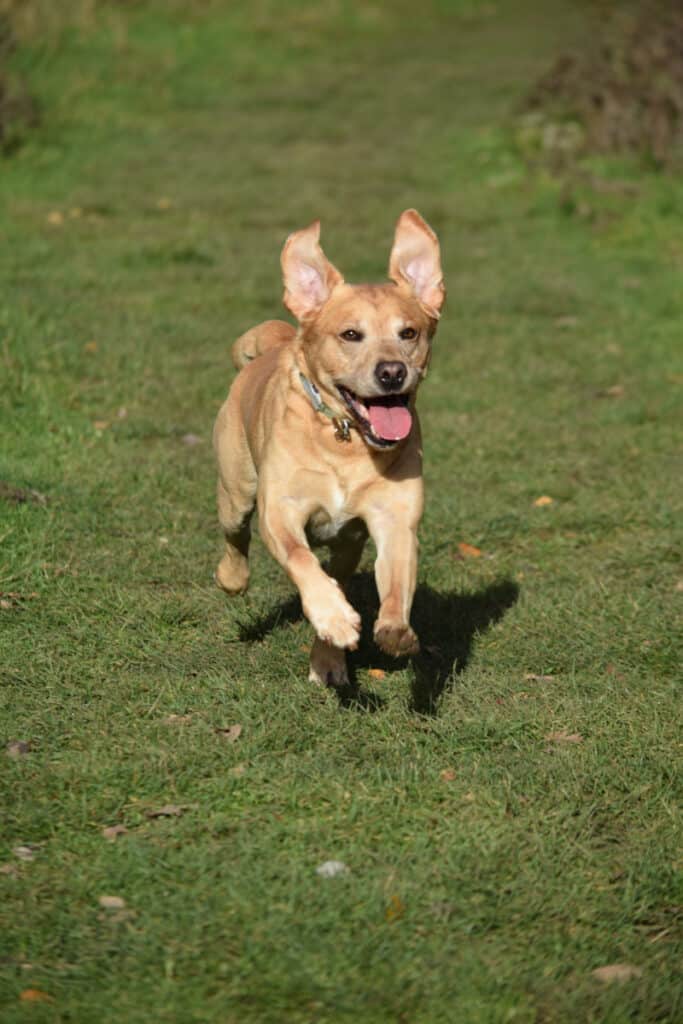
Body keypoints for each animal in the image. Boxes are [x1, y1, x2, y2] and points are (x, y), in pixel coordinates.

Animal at [215, 210, 448, 684]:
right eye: (351, 334)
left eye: (409, 332)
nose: (392, 372)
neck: (346, 442)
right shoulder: (281, 509)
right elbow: (300, 559)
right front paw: (335, 618)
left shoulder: (394, 519)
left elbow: (397, 578)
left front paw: (393, 630)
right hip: (236, 487)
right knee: (236, 533)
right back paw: (234, 578)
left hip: (347, 546)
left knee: (338, 573)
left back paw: (328, 661)